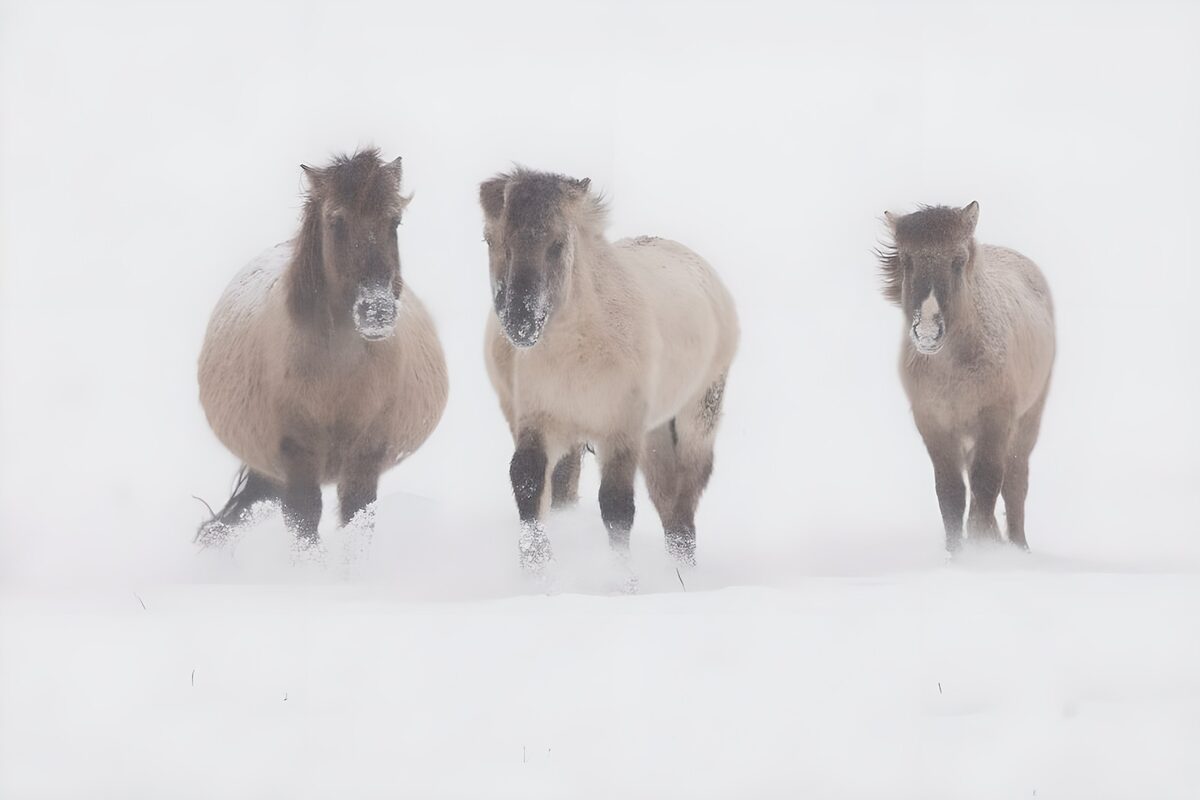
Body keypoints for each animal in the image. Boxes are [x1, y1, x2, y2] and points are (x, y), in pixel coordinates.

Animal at [197, 149, 448, 550]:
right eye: (336, 221)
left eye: (394, 221)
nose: (377, 312)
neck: (337, 377)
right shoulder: (297, 457)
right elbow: (304, 526)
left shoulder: (365, 457)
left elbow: (356, 525)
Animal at [479, 168, 739, 572]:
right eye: (490, 240)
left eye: (557, 244)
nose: (520, 322)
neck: (579, 351)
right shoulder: (540, 420)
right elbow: (528, 481)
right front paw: (537, 569)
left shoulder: (621, 430)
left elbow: (616, 507)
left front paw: (622, 580)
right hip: (652, 434)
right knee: (662, 498)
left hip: (695, 417)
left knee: (683, 502)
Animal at [878, 202, 1055, 552]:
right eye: (906, 260)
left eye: (957, 261)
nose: (928, 332)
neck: (952, 369)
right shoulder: (933, 424)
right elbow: (950, 493)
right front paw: (957, 554)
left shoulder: (995, 419)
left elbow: (987, 485)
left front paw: (982, 549)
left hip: (1027, 421)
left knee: (1015, 484)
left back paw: (1019, 547)